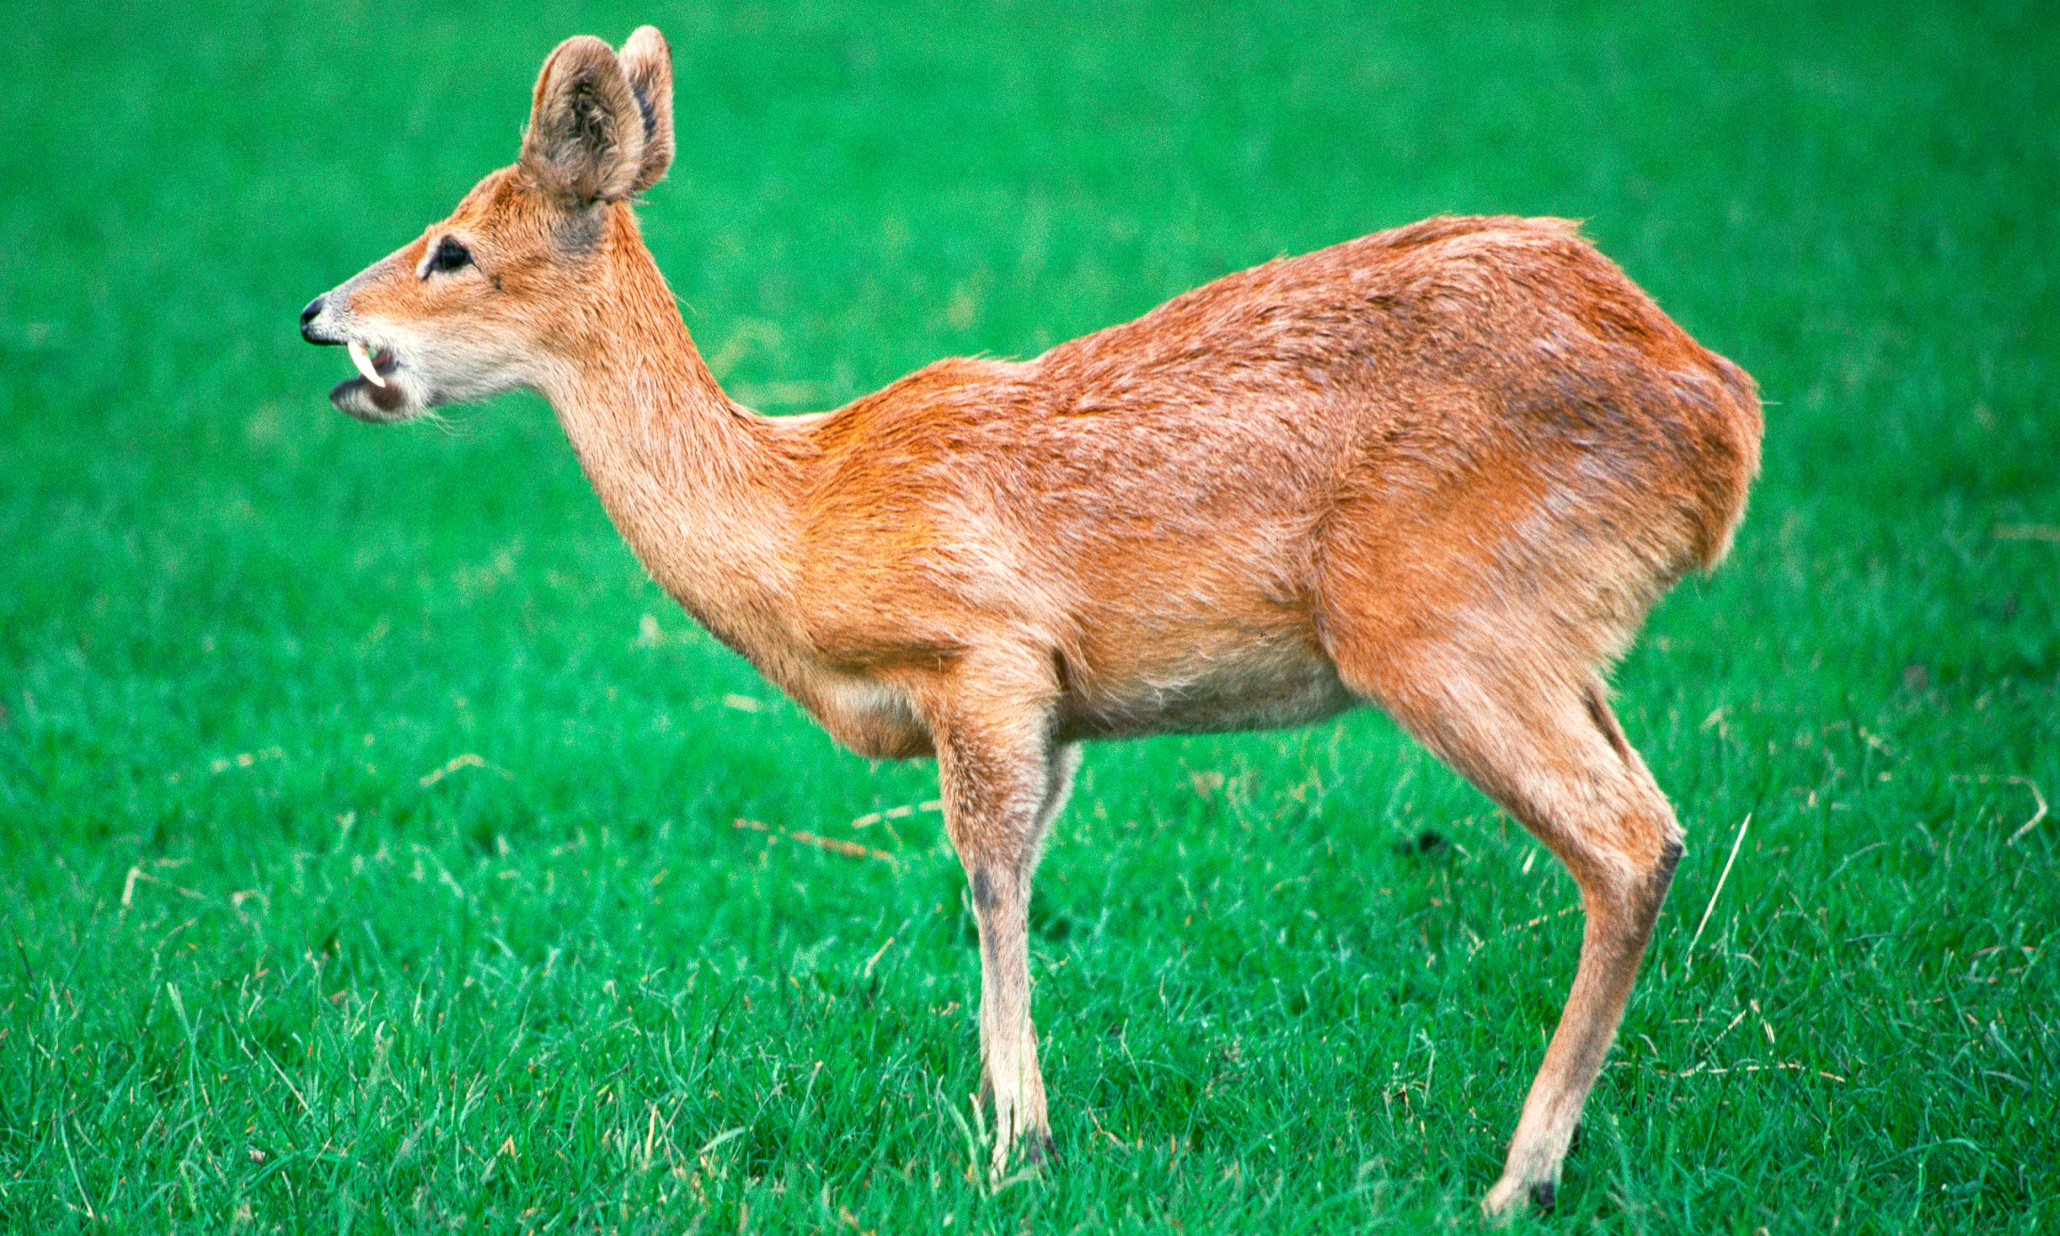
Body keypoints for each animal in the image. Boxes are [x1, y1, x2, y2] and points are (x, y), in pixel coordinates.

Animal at [298, 26, 1763, 1219]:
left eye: (450, 248)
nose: (317, 313)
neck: (802, 514)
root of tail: (1722, 421)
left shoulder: (983, 654)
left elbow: (989, 876)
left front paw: (1017, 1146)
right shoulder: (1060, 712)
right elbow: (1010, 874)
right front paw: (1018, 1127)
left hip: (1438, 621)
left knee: (1625, 840)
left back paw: (1520, 1176)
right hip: (1552, 641)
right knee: (1654, 818)